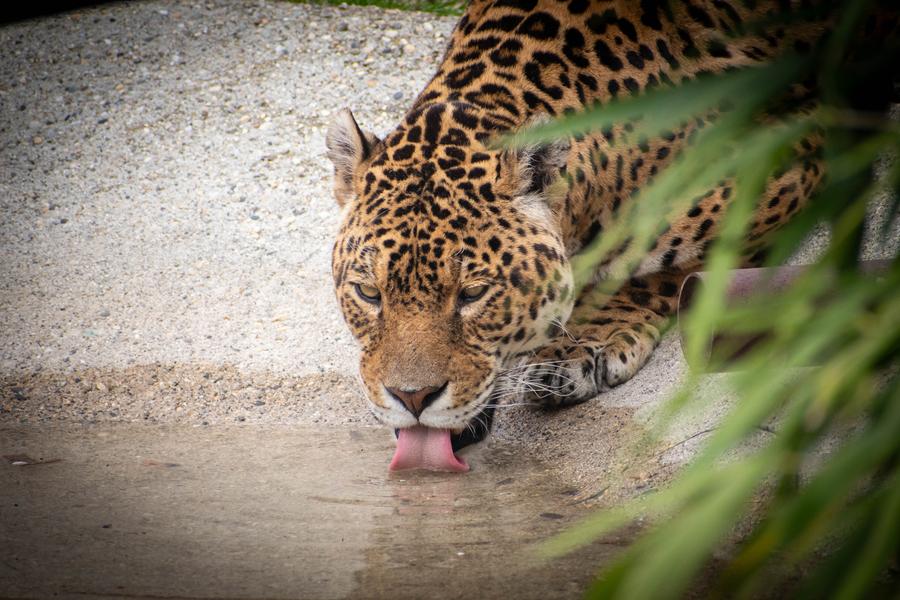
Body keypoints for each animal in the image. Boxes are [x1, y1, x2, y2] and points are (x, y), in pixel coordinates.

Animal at [324, 0, 891, 458]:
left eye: (473, 295)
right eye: (368, 294)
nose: (412, 398)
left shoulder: (786, 156)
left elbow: (661, 267)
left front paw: (579, 347)